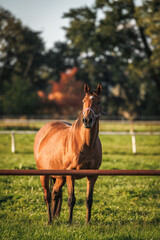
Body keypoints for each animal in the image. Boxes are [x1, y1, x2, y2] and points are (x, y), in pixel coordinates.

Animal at [33, 83, 102, 224]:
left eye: (98, 102)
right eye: (83, 101)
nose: (87, 120)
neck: (85, 143)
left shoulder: (92, 175)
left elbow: (89, 200)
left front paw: (87, 222)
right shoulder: (71, 174)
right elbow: (71, 199)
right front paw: (70, 222)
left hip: (60, 177)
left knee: (56, 193)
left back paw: (55, 217)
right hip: (44, 175)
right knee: (47, 196)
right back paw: (50, 220)